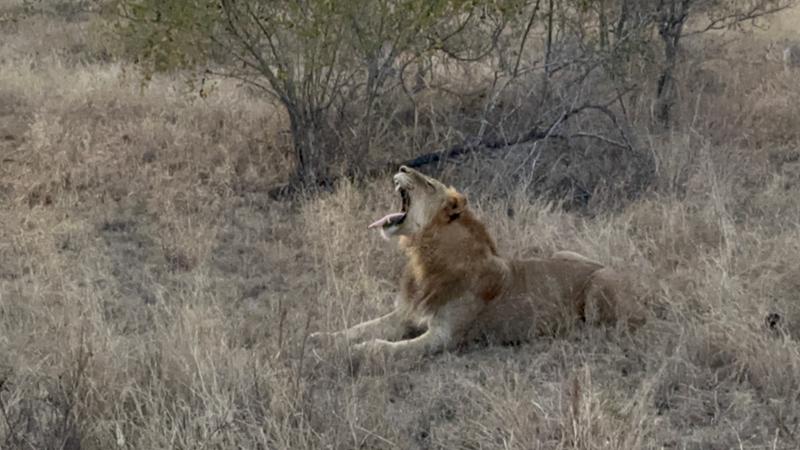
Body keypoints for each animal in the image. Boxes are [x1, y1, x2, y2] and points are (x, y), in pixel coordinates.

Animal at [310, 165, 648, 370]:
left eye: (428, 183)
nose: (403, 168)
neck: (424, 260)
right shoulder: (405, 315)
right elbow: (360, 327)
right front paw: (322, 338)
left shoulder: (443, 337)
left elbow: (385, 347)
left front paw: (357, 352)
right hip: (566, 252)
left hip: (601, 282)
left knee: (605, 328)